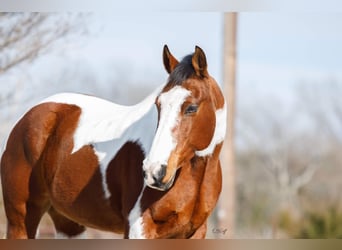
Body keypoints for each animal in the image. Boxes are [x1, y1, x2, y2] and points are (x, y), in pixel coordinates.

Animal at [0, 45, 227, 238]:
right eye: (158, 104)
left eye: (191, 107)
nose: (154, 172)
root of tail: (30, 115)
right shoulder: (139, 228)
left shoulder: (193, 233)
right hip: (21, 221)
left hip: (69, 224)